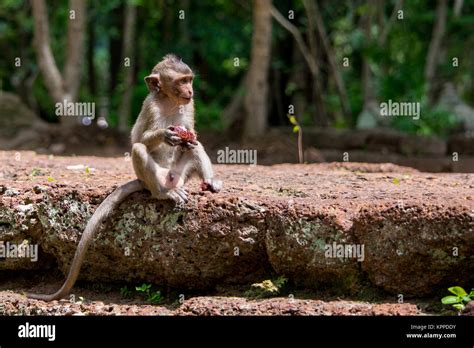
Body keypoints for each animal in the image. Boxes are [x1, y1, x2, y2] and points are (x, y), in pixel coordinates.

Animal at [27, 54, 222, 302]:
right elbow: (137, 139)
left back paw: (210, 181)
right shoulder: (150, 107)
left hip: (180, 175)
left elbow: (192, 139)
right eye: (181, 81)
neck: (169, 101)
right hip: (155, 178)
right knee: (139, 149)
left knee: (195, 149)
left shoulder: (189, 106)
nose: (190, 90)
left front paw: (189, 139)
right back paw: (163, 194)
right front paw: (166, 135)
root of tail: (169, 180)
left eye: (189, 79)